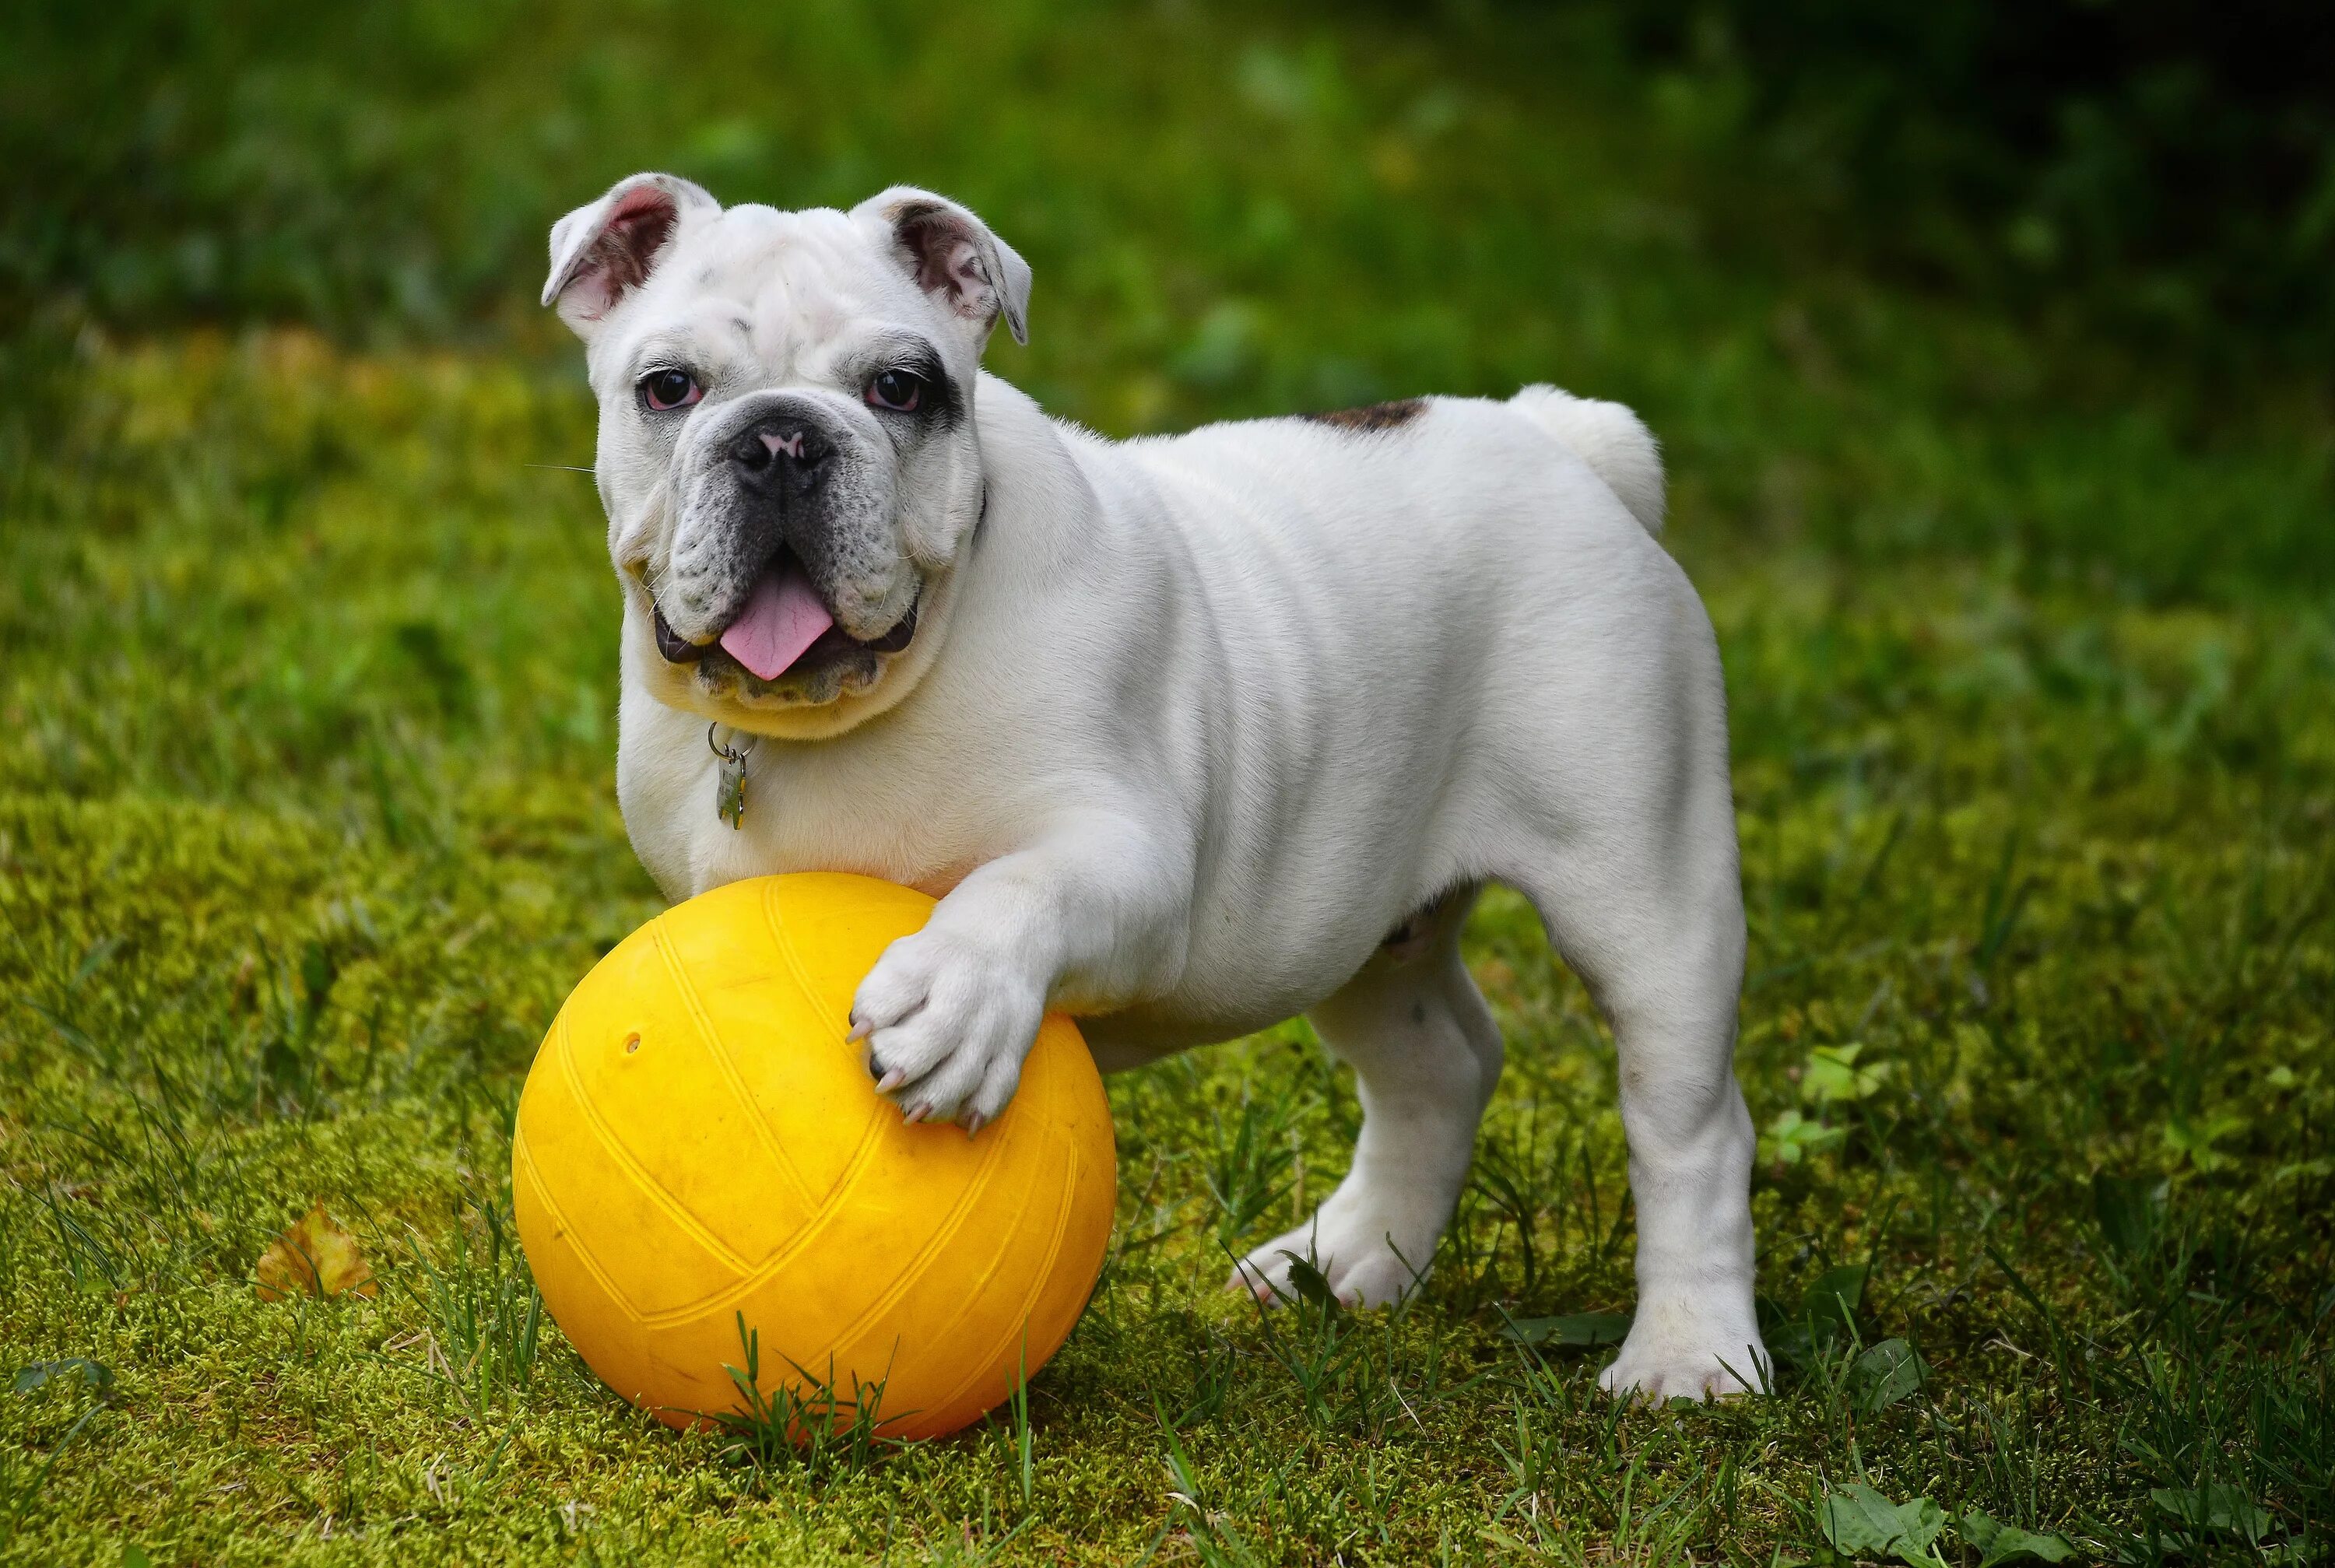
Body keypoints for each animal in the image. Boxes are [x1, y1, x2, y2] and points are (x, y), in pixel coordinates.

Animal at [537, 171, 1756, 1400]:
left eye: (899, 388)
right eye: (669, 387)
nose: (782, 437)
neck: (841, 712)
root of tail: (1559, 437)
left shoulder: (1130, 861)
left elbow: (1017, 889)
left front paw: (954, 998)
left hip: (1641, 887)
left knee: (1690, 1125)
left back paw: (1690, 1352)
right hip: (1360, 919)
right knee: (1437, 1066)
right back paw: (1348, 1261)